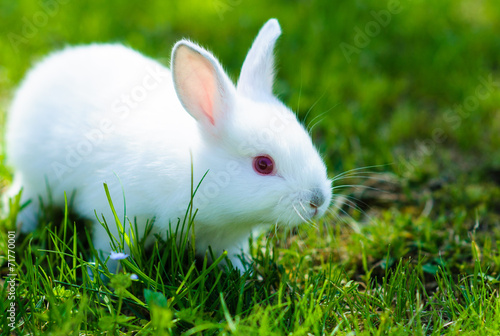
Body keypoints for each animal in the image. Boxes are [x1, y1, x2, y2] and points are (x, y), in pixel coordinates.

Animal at [5, 17, 332, 270]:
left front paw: (248, 273)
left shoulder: (229, 240)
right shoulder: (118, 215)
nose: (317, 201)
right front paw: (104, 278)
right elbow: (110, 248)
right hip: (36, 177)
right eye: (263, 164)